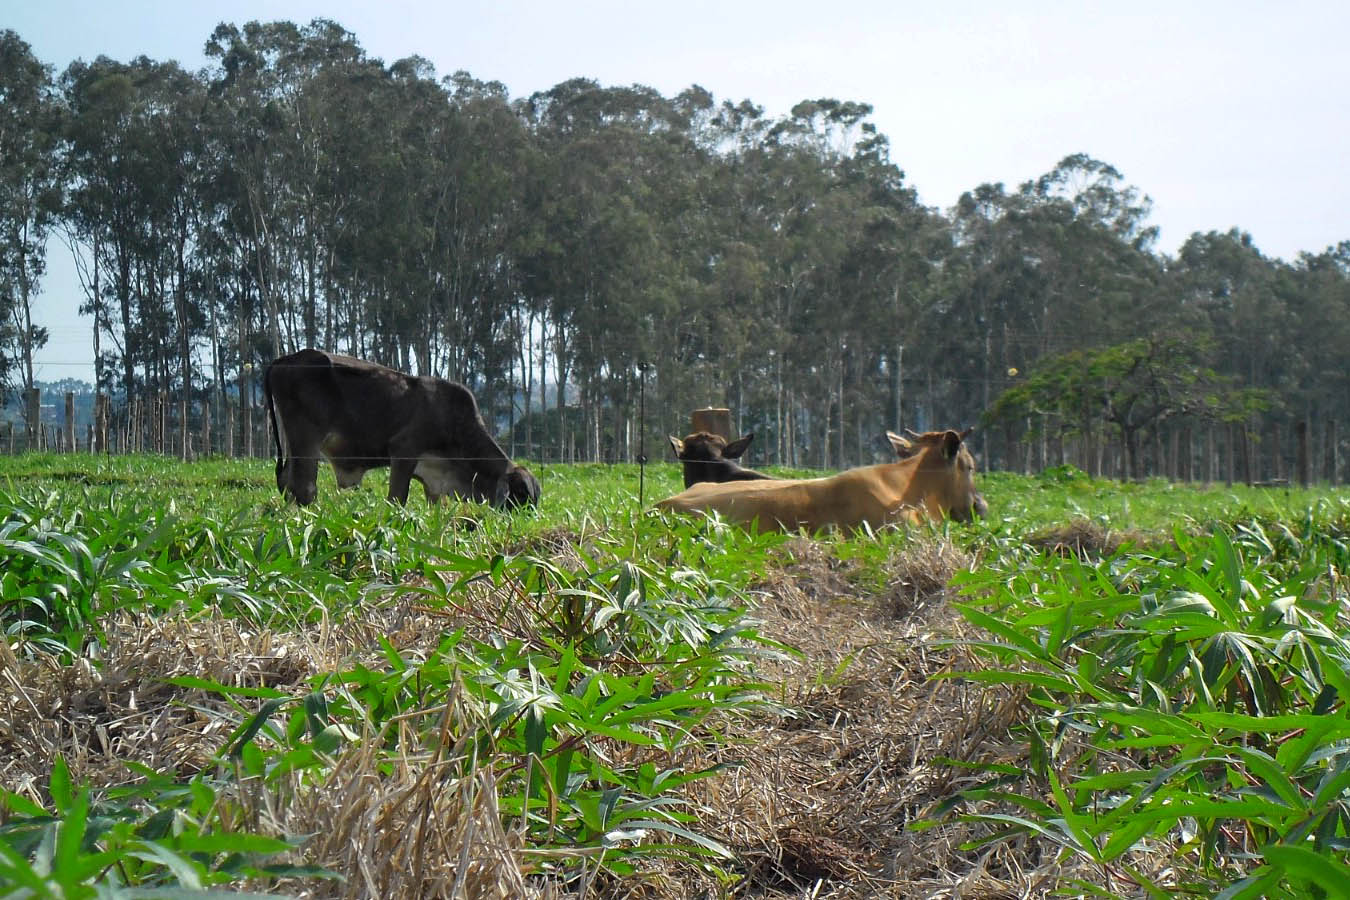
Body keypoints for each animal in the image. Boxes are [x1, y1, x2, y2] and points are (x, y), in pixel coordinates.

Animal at [260, 350, 540, 510]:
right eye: (520, 498)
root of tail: (283, 360)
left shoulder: (433, 482)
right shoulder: (403, 451)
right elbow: (397, 499)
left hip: (291, 442)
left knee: (286, 482)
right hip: (306, 440)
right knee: (304, 488)